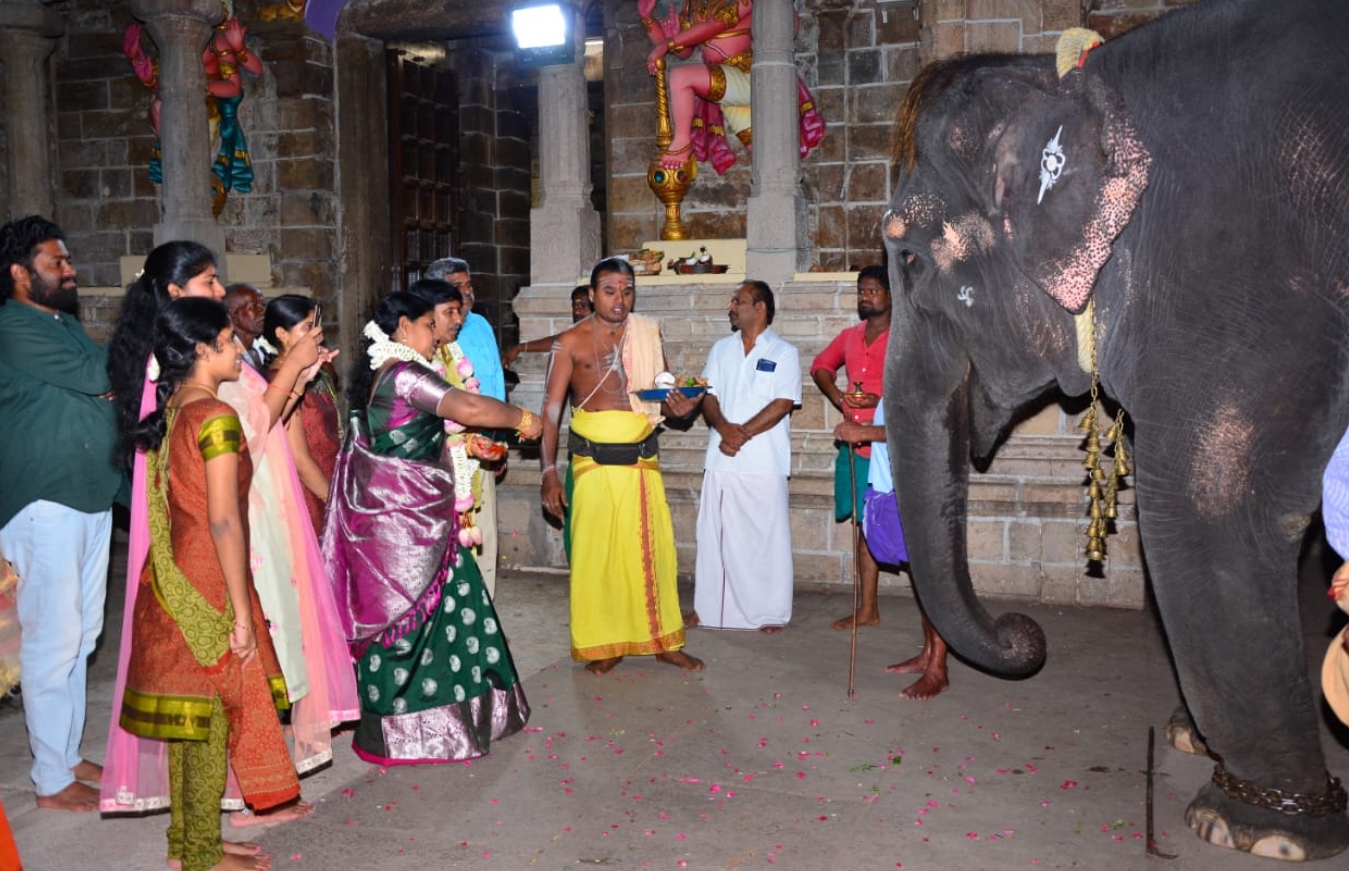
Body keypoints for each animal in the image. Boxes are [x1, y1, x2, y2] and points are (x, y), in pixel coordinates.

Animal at [884, 0, 1349, 862]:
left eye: (909, 260)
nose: (1023, 631)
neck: (1087, 86)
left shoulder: (1236, 270)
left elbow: (1211, 502)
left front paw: (1253, 827)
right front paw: (1190, 741)